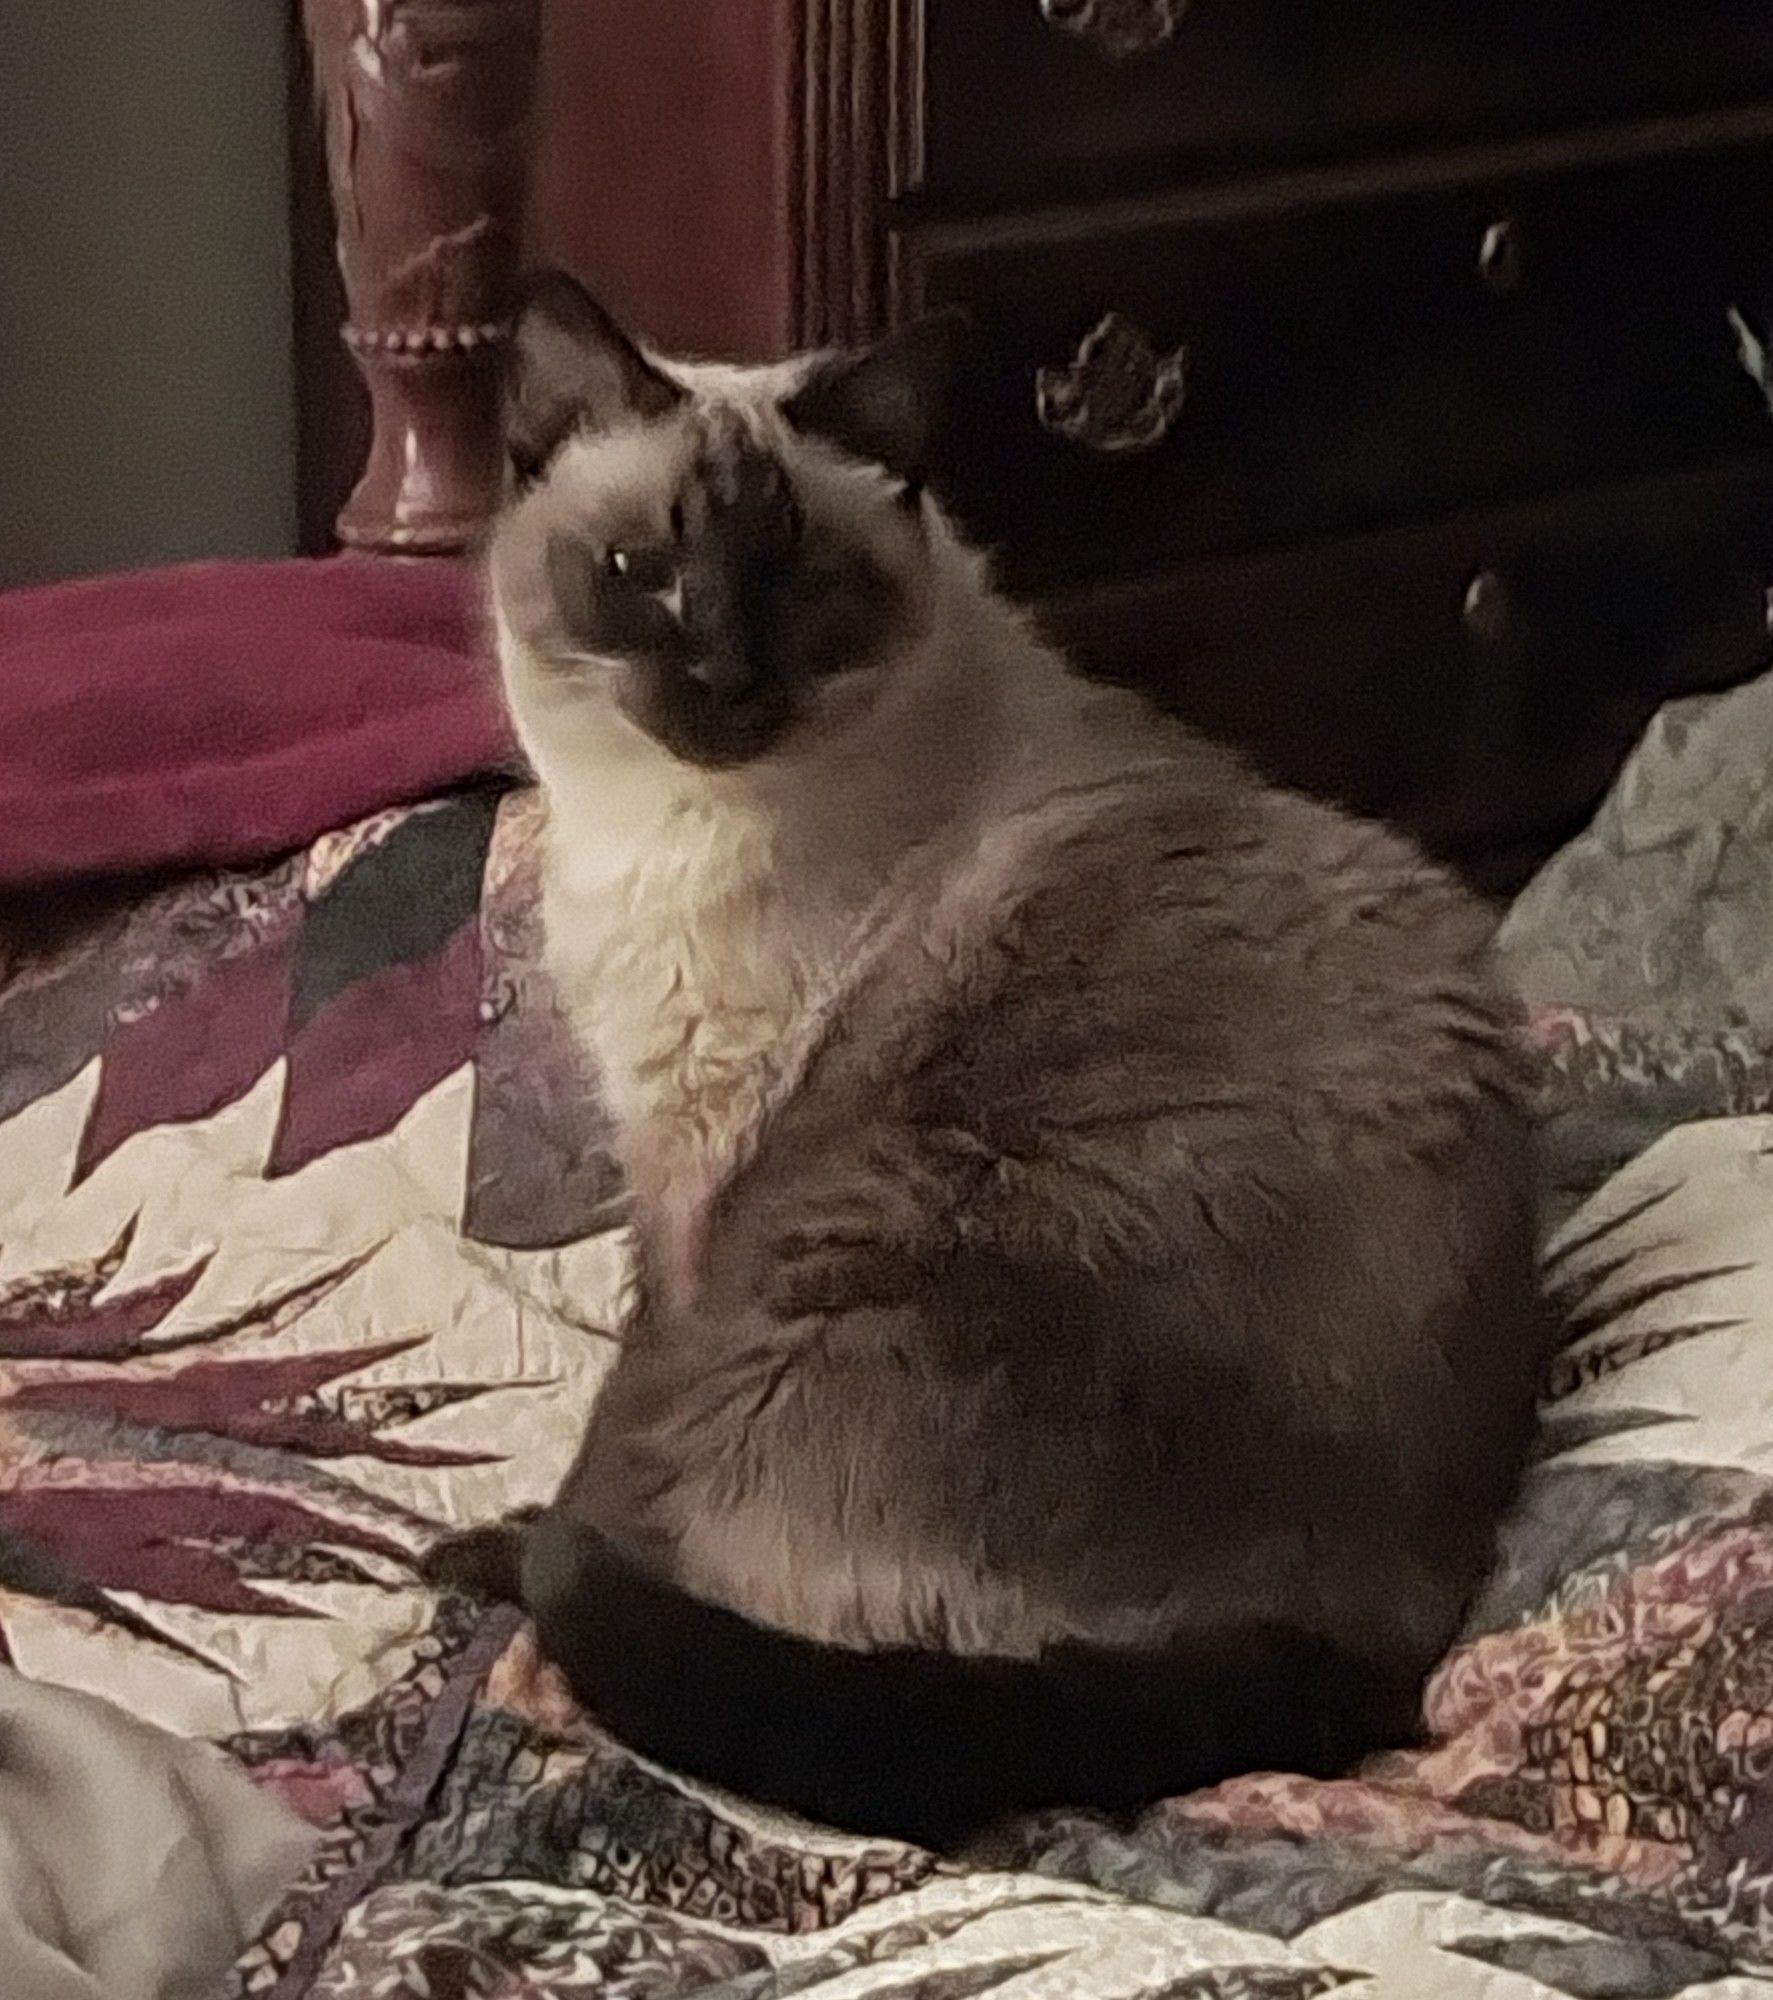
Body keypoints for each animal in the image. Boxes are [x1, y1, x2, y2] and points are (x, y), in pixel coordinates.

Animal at [438, 274, 1560, 1848]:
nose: (723, 676)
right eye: (638, 571)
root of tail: (1386, 1632)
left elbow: (615, 1431)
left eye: (800, 586)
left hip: (855, 1253)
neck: (661, 835)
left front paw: (509, 1551)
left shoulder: (699, 1192)